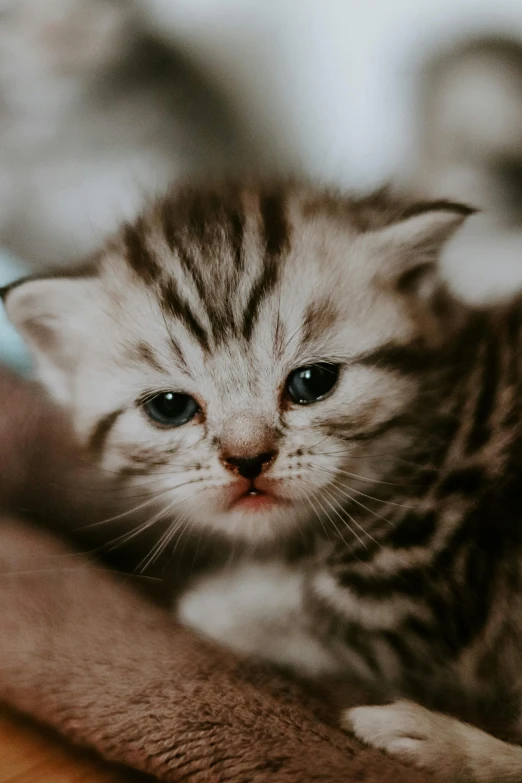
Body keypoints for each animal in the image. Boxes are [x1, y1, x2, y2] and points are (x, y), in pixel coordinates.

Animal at [5, 181, 522, 780]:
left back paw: (428, 738)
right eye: (170, 407)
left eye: (312, 382)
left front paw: (211, 601)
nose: (248, 459)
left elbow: (289, 615)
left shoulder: (420, 592)